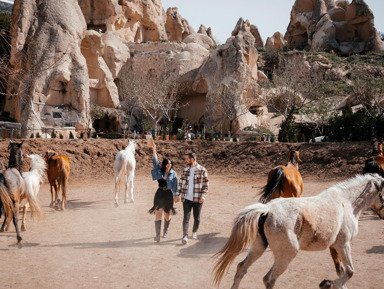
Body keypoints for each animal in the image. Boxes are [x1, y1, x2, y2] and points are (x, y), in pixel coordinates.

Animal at [213, 173, 384, 288]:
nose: (383, 216)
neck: (347, 203)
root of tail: (267, 210)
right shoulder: (343, 244)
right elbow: (349, 272)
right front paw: (328, 284)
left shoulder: (334, 247)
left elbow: (341, 271)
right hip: (287, 254)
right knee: (268, 279)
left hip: (258, 247)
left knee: (241, 268)